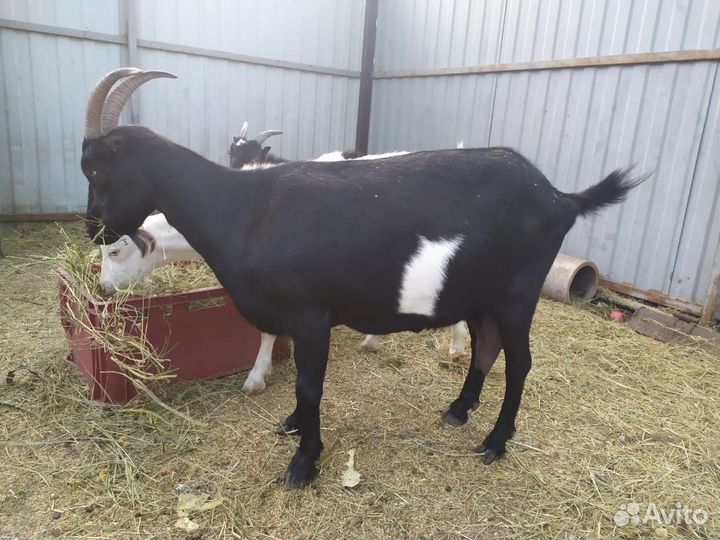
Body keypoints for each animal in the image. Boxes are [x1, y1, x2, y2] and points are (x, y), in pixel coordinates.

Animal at [82, 68, 647, 489]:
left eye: (94, 169)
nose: (93, 229)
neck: (244, 209)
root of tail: (560, 197)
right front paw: (291, 425)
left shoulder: (310, 315)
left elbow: (310, 385)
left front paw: (304, 462)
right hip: (481, 296)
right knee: (485, 348)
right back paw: (458, 410)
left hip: (517, 294)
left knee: (519, 362)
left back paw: (495, 441)